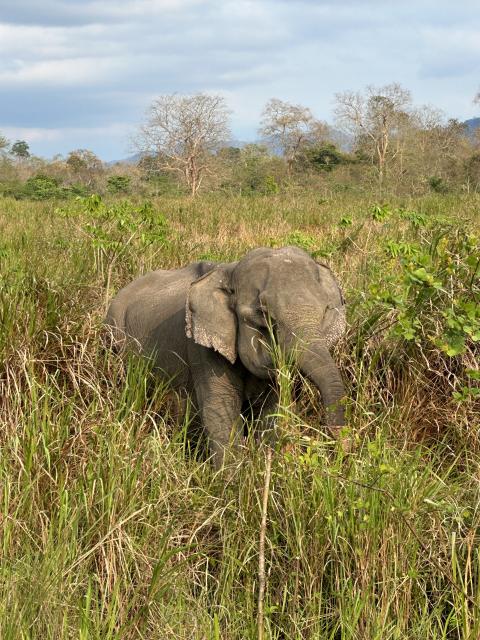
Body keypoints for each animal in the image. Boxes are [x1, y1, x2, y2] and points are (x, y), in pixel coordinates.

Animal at [105, 246, 347, 468]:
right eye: (263, 315)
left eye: (326, 310)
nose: (339, 445)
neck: (230, 270)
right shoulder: (201, 347)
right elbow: (222, 408)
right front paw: (230, 483)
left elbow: (272, 410)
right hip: (113, 337)